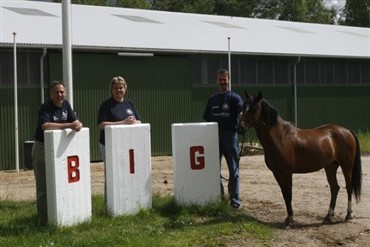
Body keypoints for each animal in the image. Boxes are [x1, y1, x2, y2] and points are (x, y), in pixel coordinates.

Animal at [238, 91, 362, 226]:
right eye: (243, 106)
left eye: (254, 108)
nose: (240, 127)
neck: (280, 138)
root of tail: (347, 131)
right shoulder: (277, 173)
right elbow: (284, 194)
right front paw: (288, 218)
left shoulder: (287, 173)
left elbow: (288, 194)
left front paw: (290, 219)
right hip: (331, 167)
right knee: (335, 188)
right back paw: (328, 216)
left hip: (346, 166)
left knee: (348, 187)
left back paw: (349, 215)